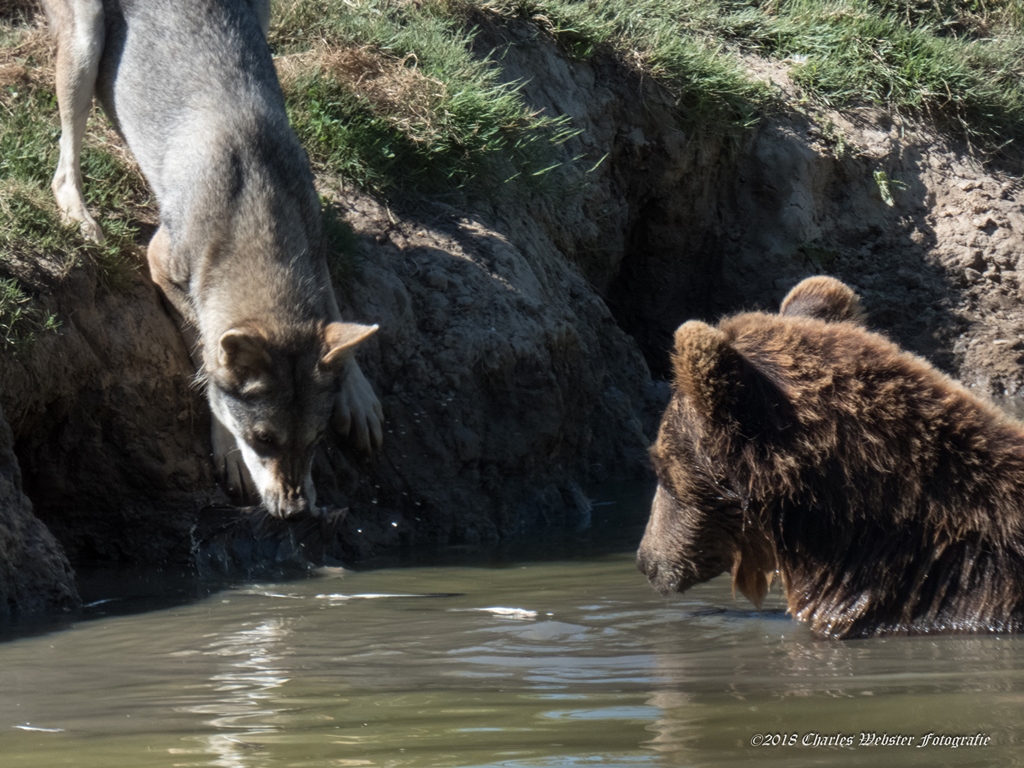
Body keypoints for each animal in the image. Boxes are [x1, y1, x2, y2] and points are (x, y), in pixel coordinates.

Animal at [42, 0, 384, 517]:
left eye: (314, 440)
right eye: (262, 440)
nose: (295, 512)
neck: (257, 214)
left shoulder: (315, 240)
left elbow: (334, 310)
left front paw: (357, 392)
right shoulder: (160, 262)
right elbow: (204, 358)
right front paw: (228, 450)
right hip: (85, 43)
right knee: (63, 169)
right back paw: (82, 220)